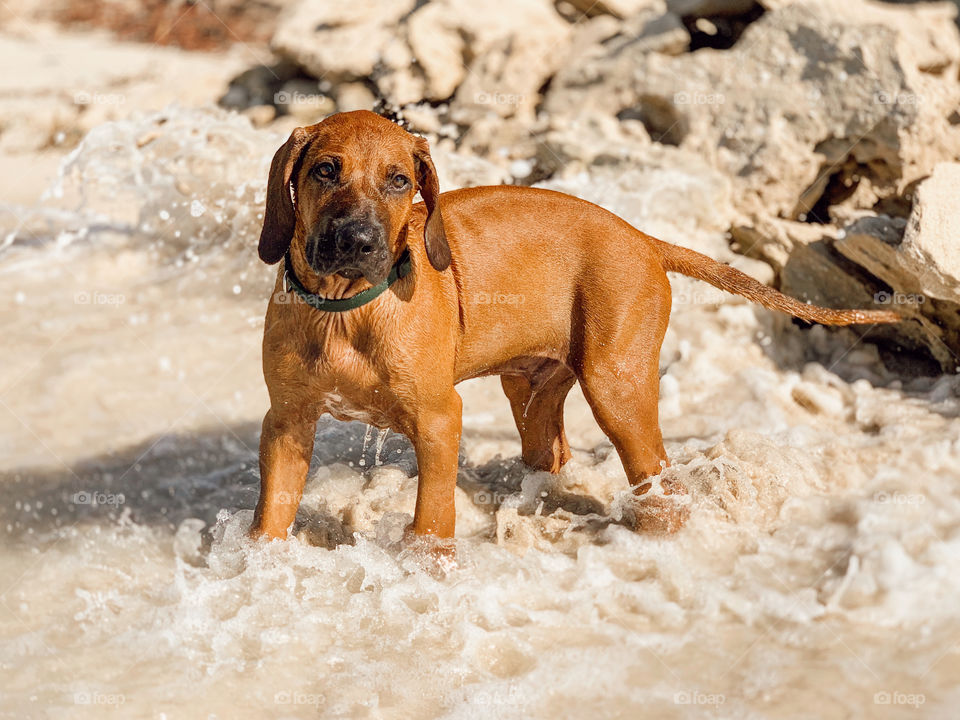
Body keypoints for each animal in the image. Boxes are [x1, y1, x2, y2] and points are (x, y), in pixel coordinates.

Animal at [248, 109, 900, 544]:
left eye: (399, 181)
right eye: (325, 171)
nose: (357, 242)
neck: (343, 312)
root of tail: (645, 240)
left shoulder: (438, 419)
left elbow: (432, 517)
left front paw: (427, 566)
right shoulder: (286, 421)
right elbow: (270, 515)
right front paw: (259, 566)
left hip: (617, 387)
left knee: (662, 483)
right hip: (532, 390)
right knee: (552, 450)